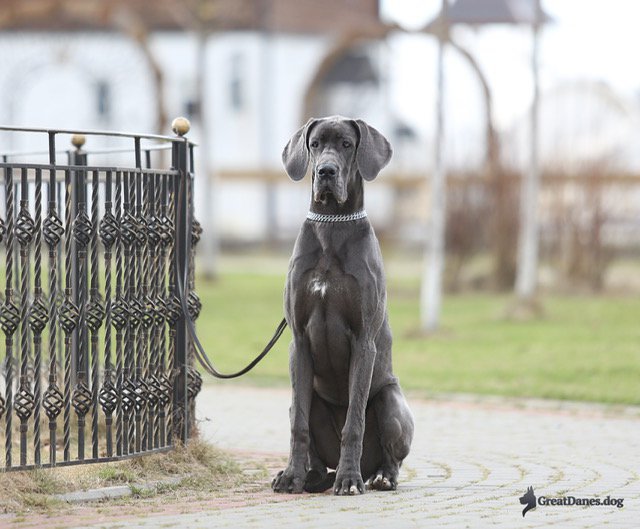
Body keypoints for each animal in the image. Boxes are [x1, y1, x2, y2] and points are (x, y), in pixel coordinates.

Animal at [272, 115, 416, 496]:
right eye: (315, 144)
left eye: (347, 144)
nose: (325, 171)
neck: (331, 226)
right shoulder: (299, 342)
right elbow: (299, 427)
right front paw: (290, 475)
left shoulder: (363, 341)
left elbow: (354, 421)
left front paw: (349, 481)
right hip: (301, 398)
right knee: (308, 434)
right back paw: (310, 475)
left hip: (391, 400)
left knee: (391, 455)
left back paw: (376, 476)